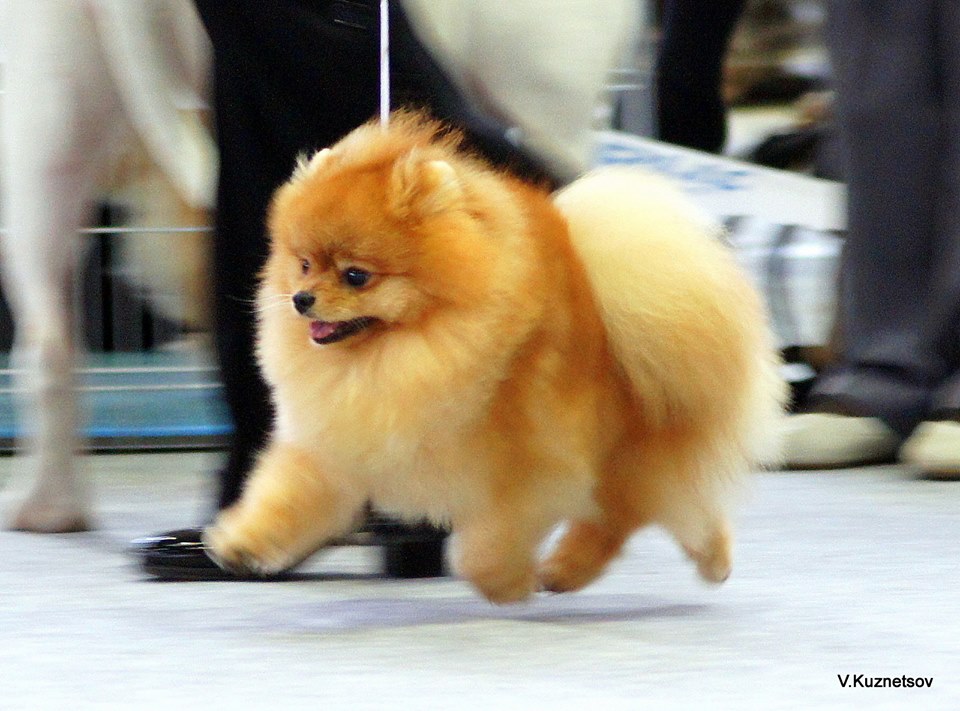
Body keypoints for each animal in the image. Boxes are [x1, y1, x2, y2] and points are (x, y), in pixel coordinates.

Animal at [202, 112, 787, 603]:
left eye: (355, 275)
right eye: (303, 264)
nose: (301, 299)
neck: (395, 357)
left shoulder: (528, 468)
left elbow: (493, 538)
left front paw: (502, 583)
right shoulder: (338, 443)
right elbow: (287, 496)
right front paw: (242, 542)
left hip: (628, 457)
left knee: (629, 516)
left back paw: (583, 568)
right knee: (673, 510)